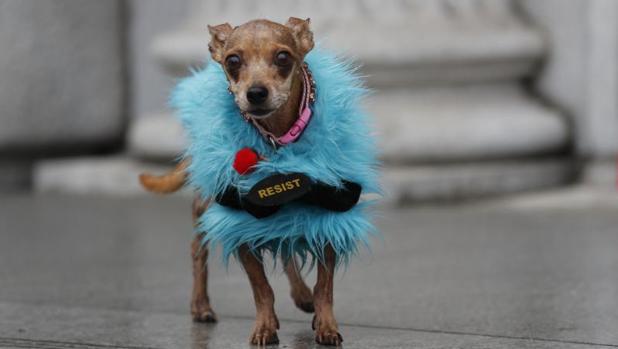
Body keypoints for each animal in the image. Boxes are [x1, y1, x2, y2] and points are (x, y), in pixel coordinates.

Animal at [138, 17, 376, 346]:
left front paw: (326, 323)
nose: (256, 92)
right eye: (233, 61)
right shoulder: (240, 227)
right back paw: (201, 305)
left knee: (288, 247)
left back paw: (302, 295)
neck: (278, 143)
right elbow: (262, 288)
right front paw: (264, 325)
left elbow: (324, 287)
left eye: (283, 57)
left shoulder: (329, 218)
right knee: (198, 250)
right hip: (204, 206)